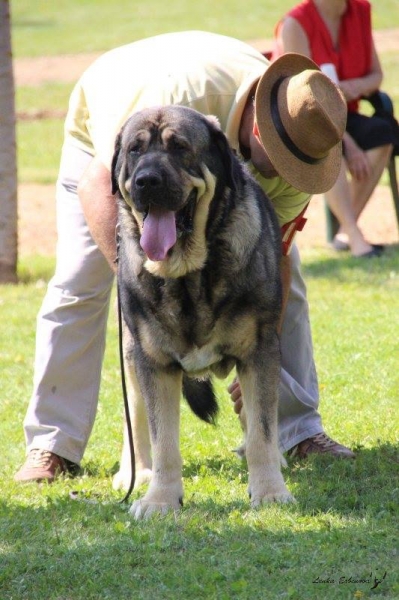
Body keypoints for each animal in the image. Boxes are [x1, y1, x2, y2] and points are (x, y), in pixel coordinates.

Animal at [110, 105, 294, 516]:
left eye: (180, 147)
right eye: (134, 150)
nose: (146, 181)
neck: (188, 276)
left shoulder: (260, 351)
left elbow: (261, 430)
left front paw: (269, 491)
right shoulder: (153, 362)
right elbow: (163, 439)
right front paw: (160, 499)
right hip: (129, 353)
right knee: (136, 417)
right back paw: (136, 472)